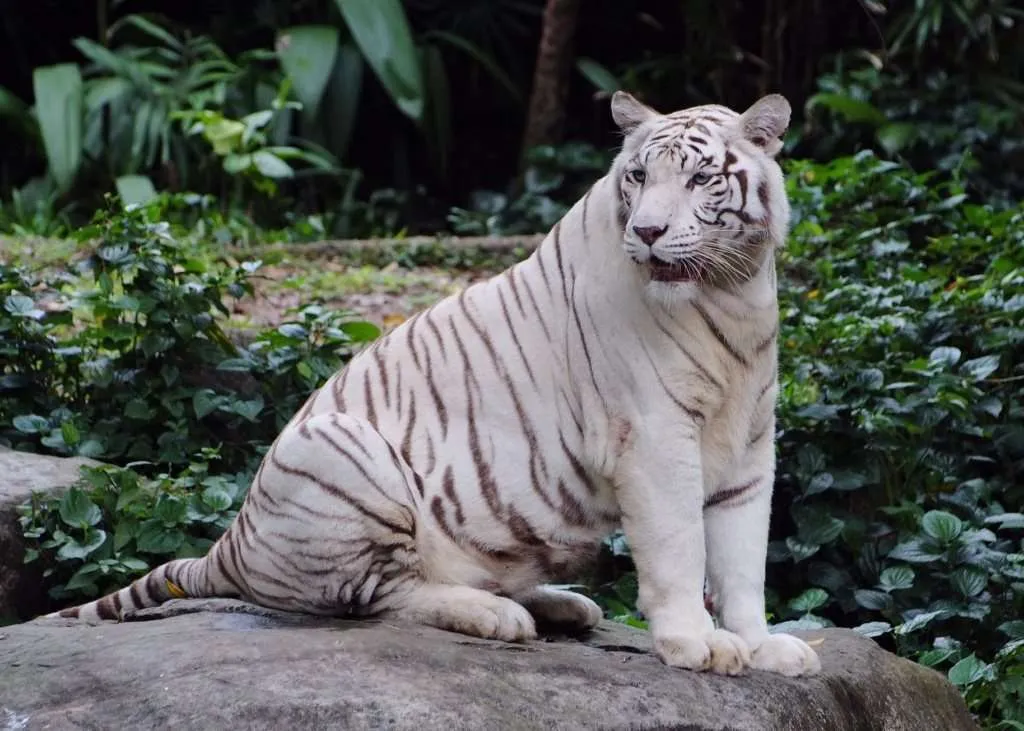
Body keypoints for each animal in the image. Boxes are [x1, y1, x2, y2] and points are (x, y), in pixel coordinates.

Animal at [54, 91, 823, 675]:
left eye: (698, 179)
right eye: (637, 177)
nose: (649, 231)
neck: (732, 292)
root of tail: (233, 539)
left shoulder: (751, 447)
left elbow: (743, 559)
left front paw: (762, 646)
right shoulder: (656, 438)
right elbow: (680, 549)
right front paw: (696, 643)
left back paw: (562, 604)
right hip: (345, 452)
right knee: (382, 596)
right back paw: (497, 614)